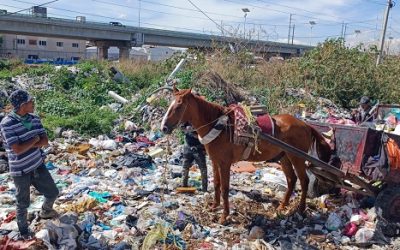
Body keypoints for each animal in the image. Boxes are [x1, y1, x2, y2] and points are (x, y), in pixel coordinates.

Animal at [160, 87, 332, 224]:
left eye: (179, 105)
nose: (164, 128)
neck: (219, 126)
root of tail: (306, 125)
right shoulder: (215, 161)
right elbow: (216, 184)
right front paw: (214, 206)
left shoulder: (225, 163)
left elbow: (225, 188)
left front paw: (224, 216)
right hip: (284, 157)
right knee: (291, 180)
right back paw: (282, 206)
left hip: (297, 157)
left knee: (304, 181)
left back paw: (301, 209)